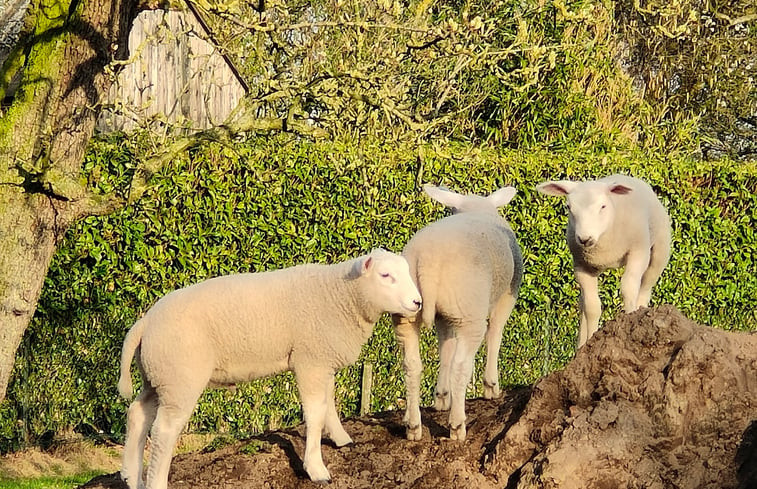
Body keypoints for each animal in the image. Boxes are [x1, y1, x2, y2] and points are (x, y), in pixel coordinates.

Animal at [120, 250, 422, 486]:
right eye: (385, 275)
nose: (417, 302)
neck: (340, 295)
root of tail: (145, 322)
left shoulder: (322, 358)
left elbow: (329, 404)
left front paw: (341, 439)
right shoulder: (310, 360)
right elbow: (315, 412)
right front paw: (316, 468)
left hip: (157, 376)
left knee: (137, 414)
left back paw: (131, 477)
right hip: (180, 377)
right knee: (163, 431)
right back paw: (155, 481)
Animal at [392, 184, 524, 442]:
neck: (476, 207)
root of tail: (428, 261)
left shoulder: (444, 318)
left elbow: (446, 348)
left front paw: (442, 396)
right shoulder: (507, 294)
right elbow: (496, 334)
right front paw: (491, 386)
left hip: (407, 313)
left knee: (411, 365)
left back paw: (413, 426)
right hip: (469, 310)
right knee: (462, 364)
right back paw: (457, 425)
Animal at [536, 173, 672, 346]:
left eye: (603, 206)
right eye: (569, 207)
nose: (584, 239)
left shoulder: (638, 252)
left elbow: (628, 287)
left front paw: (630, 318)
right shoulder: (582, 265)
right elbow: (592, 306)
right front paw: (591, 338)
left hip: (659, 251)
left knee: (645, 287)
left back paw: (641, 311)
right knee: (582, 302)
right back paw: (580, 344)